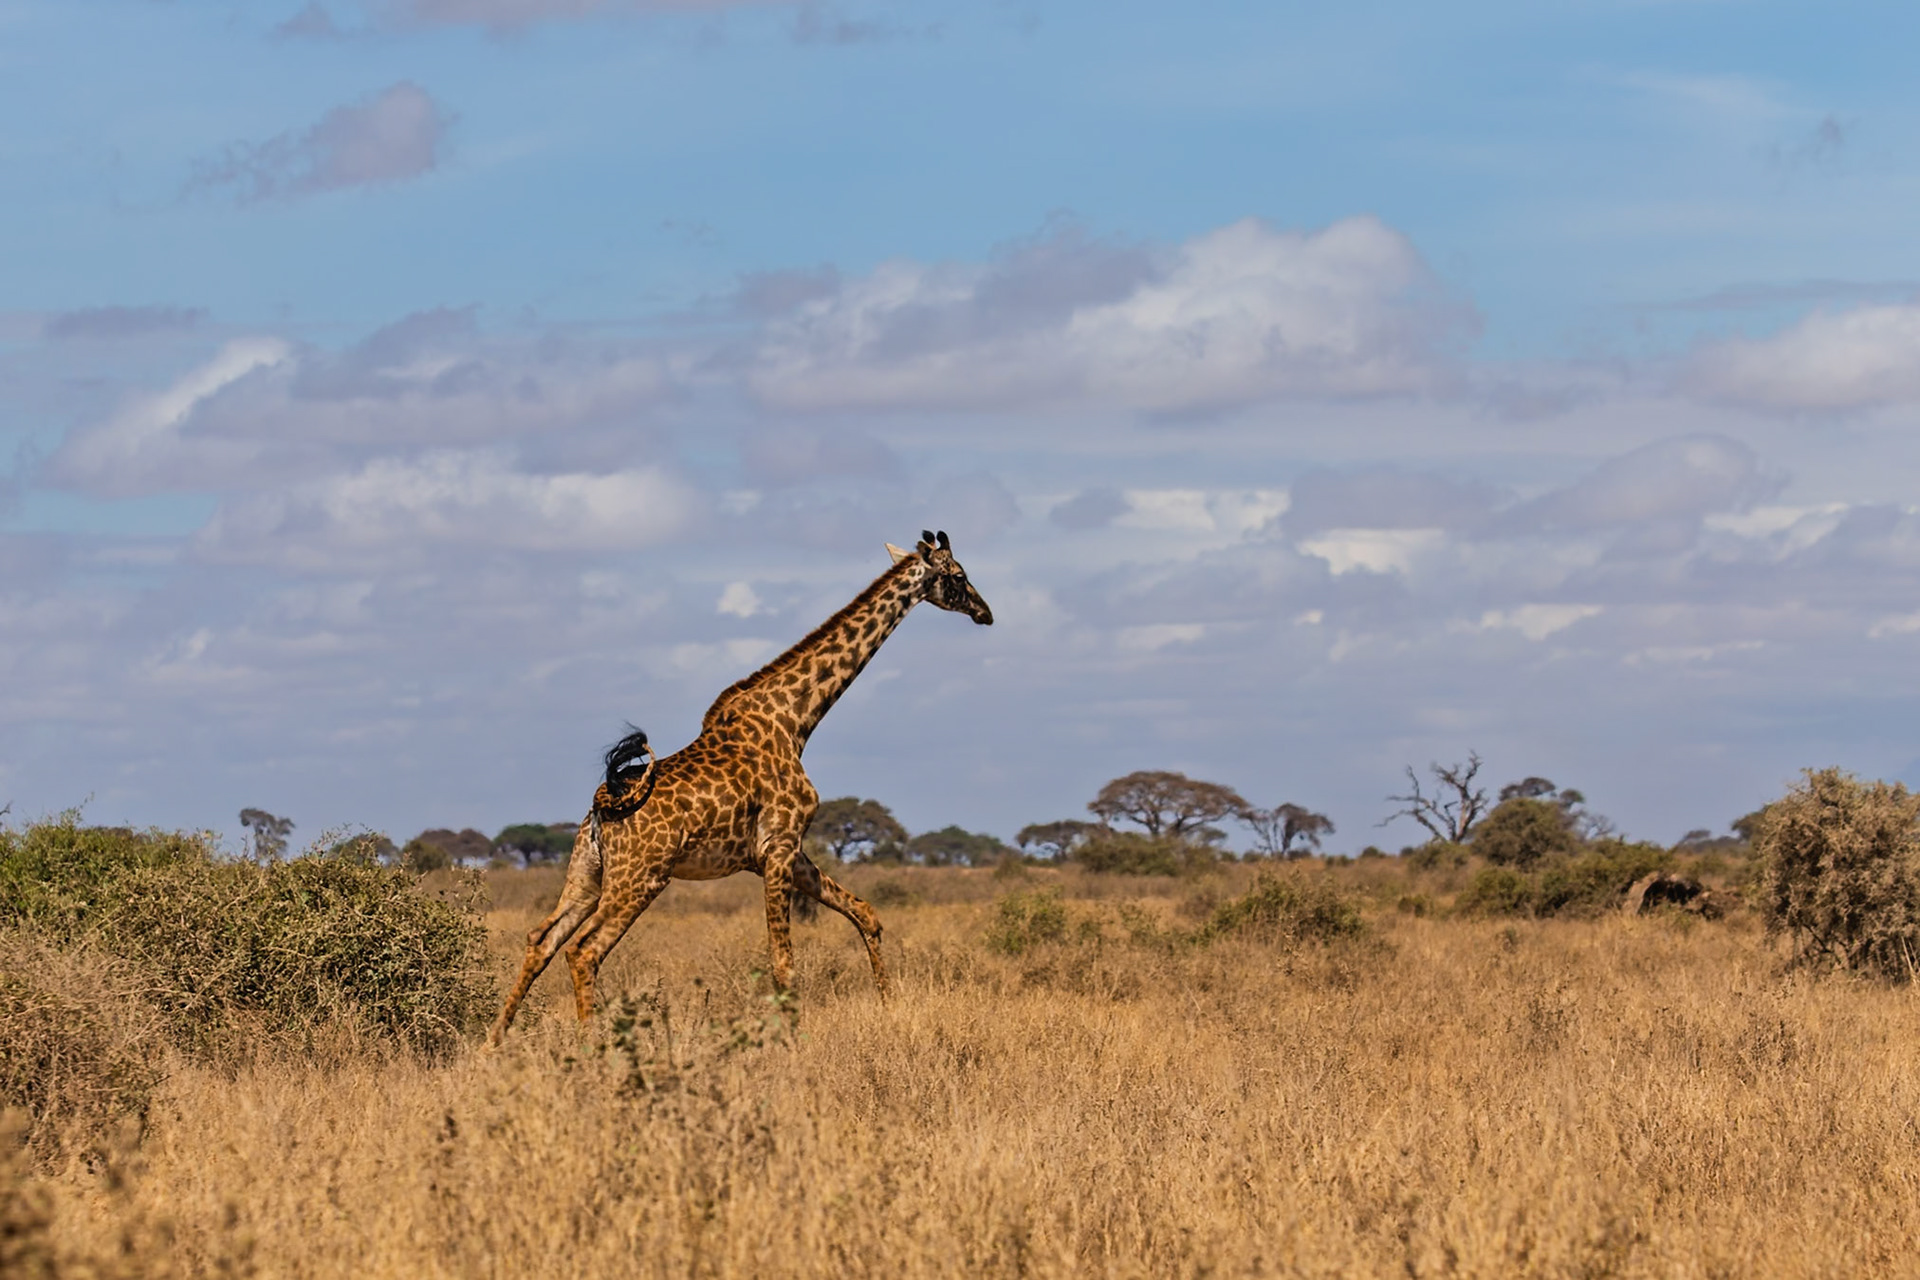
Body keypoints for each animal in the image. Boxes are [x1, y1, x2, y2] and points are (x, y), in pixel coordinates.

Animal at [489, 530, 993, 1044]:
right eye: (958, 576)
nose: (984, 612)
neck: (795, 719)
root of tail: (602, 804)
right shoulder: (780, 845)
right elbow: (783, 963)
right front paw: (792, 1043)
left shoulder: (780, 851)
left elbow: (865, 914)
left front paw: (889, 1006)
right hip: (640, 877)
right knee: (584, 950)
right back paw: (593, 1046)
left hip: (586, 874)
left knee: (541, 939)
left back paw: (493, 1043)